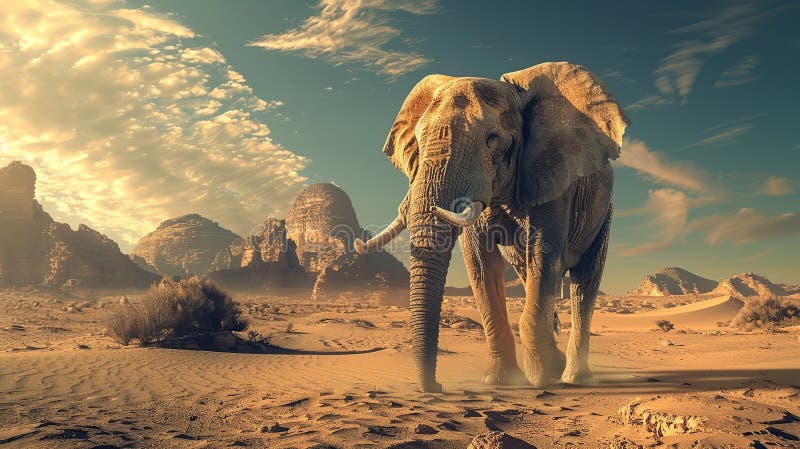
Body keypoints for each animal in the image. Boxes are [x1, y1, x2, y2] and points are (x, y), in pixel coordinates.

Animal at [354, 62, 629, 392]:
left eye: (492, 138)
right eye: (418, 143)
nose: (436, 388)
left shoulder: (553, 179)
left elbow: (544, 255)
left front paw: (547, 373)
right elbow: (481, 267)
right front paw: (501, 381)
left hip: (605, 211)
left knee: (583, 282)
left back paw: (574, 376)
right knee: (528, 274)